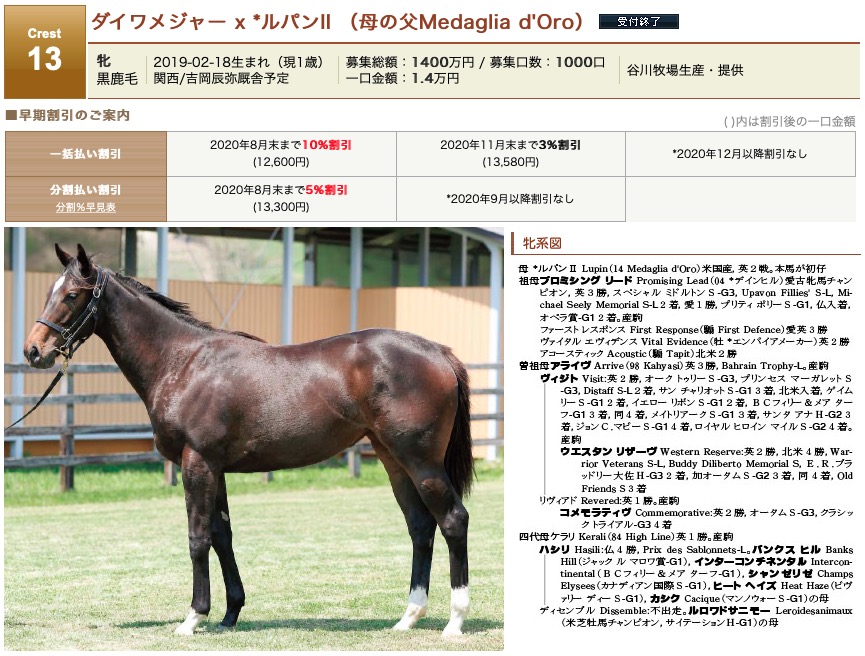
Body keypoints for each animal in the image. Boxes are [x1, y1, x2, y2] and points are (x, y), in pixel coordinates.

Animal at [23, 244, 475, 637]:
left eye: (73, 295)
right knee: (420, 526)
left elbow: (198, 538)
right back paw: (408, 618)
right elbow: (222, 536)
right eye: (49, 292)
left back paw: (454, 621)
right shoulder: (215, 467)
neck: (184, 362)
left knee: (453, 520)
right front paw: (229, 614)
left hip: (421, 462)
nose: (33, 350)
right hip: (393, 459)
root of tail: (439, 352)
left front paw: (193, 617)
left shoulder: (197, 462)